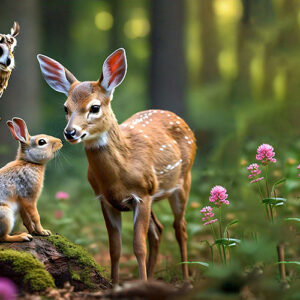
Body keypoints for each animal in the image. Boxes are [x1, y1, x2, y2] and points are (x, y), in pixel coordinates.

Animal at [37, 48, 197, 282]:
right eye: (65, 108)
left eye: (95, 107)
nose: (70, 132)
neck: (121, 171)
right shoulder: (105, 199)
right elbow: (115, 249)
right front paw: (115, 284)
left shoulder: (143, 194)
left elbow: (138, 247)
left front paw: (140, 283)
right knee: (158, 230)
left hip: (183, 181)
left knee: (180, 228)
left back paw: (185, 279)